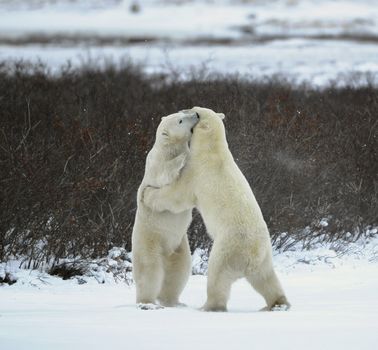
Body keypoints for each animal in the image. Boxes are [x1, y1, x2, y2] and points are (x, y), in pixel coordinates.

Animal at [131, 110, 199, 308]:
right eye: (181, 120)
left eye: (183, 112)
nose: (196, 114)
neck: (169, 147)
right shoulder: (156, 163)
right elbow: (164, 174)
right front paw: (183, 159)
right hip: (149, 241)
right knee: (150, 272)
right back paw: (147, 303)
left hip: (179, 246)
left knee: (179, 270)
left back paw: (173, 302)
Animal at [142, 106, 290, 312]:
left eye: (196, 113)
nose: (188, 110)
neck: (213, 150)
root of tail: (254, 254)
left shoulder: (195, 172)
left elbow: (177, 196)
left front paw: (147, 195)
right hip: (266, 256)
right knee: (266, 278)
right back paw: (278, 304)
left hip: (229, 247)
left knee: (217, 275)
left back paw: (208, 306)